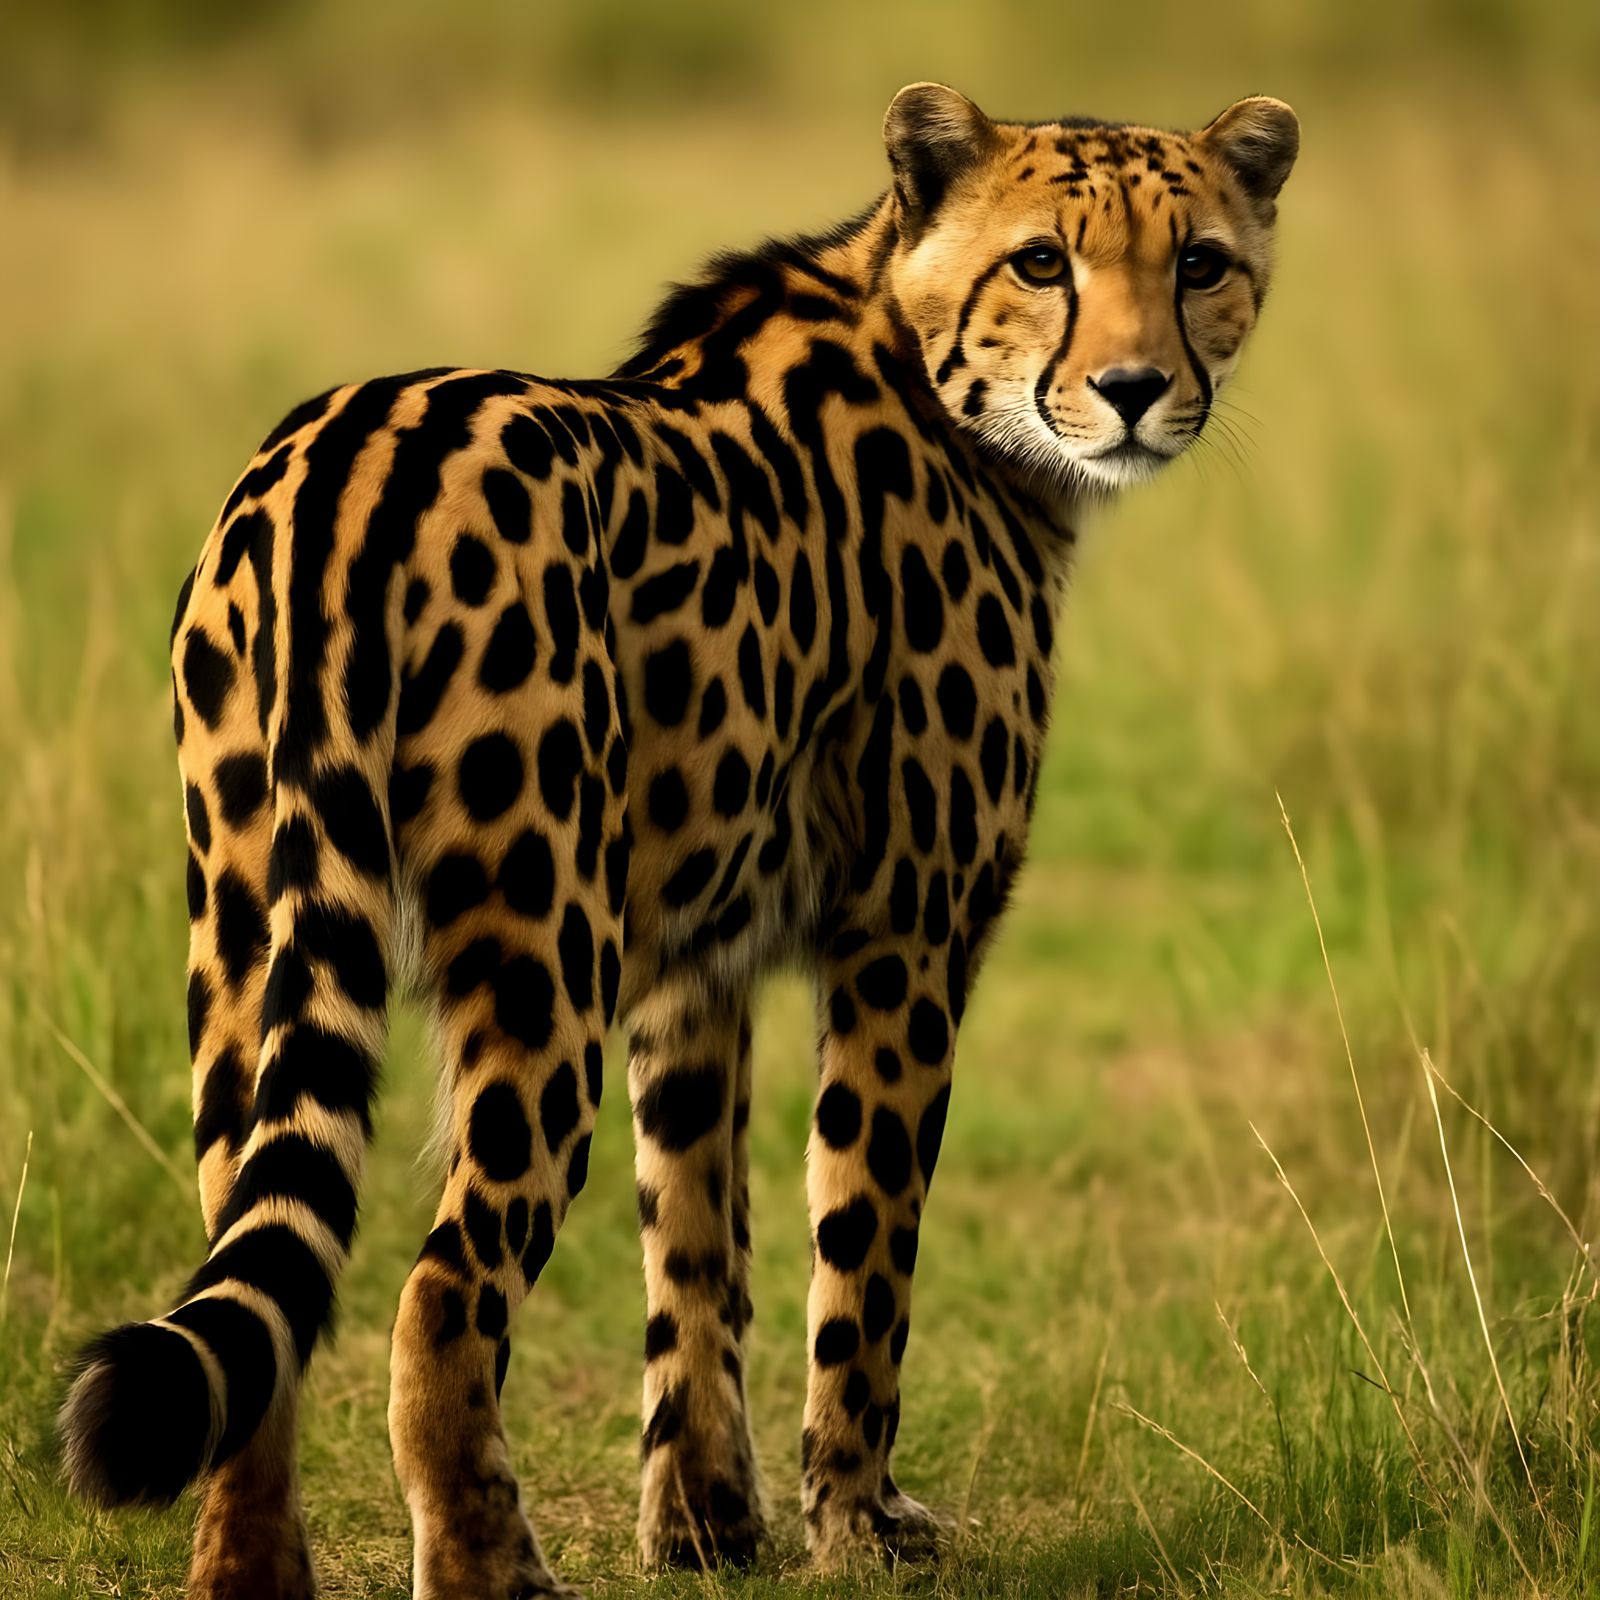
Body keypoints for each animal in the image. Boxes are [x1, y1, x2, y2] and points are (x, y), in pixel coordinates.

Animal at [59, 82, 1297, 1597]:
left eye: (1200, 263)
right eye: (1042, 262)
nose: (1131, 389)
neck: (931, 363)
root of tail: (338, 462)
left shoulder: (690, 963)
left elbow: (697, 1240)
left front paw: (706, 1517)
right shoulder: (903, 940)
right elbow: (863, 1252)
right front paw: (855, 1522)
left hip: (251, 946)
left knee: (253, 1251)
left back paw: (248, 1571)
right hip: (538, 967)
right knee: (440, 1290)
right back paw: (486, 1565)